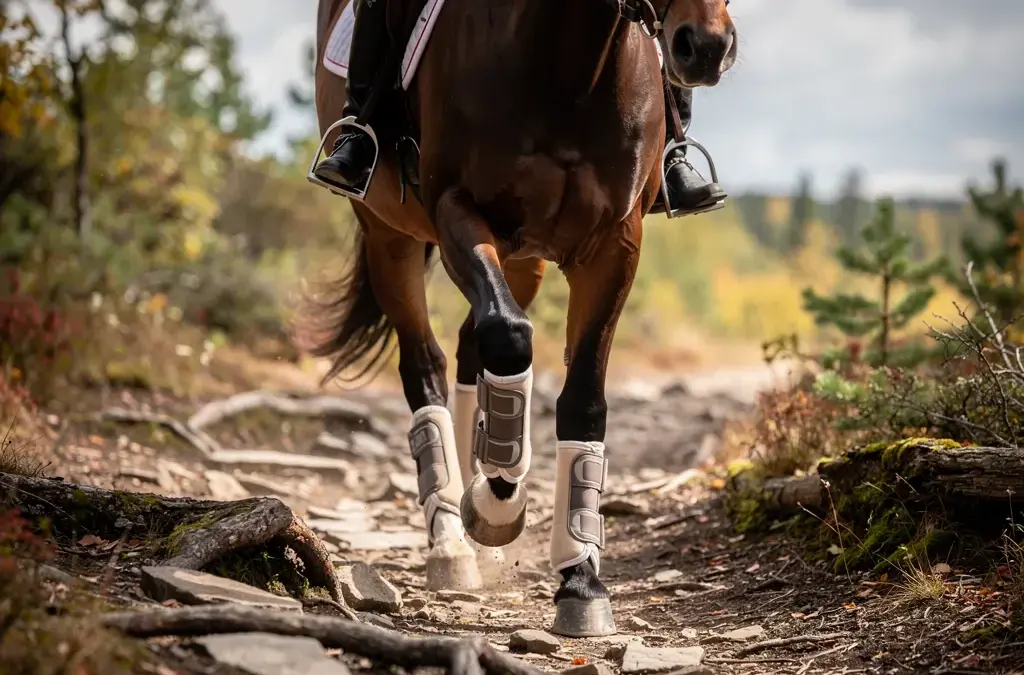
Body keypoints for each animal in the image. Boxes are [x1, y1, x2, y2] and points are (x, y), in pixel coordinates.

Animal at [308, 0, 736, 637]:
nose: (705, 47)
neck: (568, 68)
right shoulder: (456, 210)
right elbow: (509, 341)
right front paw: (495, 505)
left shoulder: (614, 245)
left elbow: (581, 399)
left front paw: (581, 580)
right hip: (389, 233)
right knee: (428, 364)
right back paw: (452, 539)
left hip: (524, 259)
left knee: (470, 347)